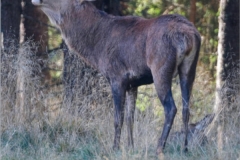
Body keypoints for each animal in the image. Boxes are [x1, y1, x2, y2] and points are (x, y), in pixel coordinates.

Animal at [31, 0, 201, 155]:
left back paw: (159, 148)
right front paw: (131, 147)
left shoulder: (117, 77)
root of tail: (189, 35)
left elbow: (118, 119)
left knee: (171, 108)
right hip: (189, 70)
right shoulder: (133, 84)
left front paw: (115, 148)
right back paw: (185, 148)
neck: (96, 49)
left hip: (160, 68)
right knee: (186, 108)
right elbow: (130, 118)